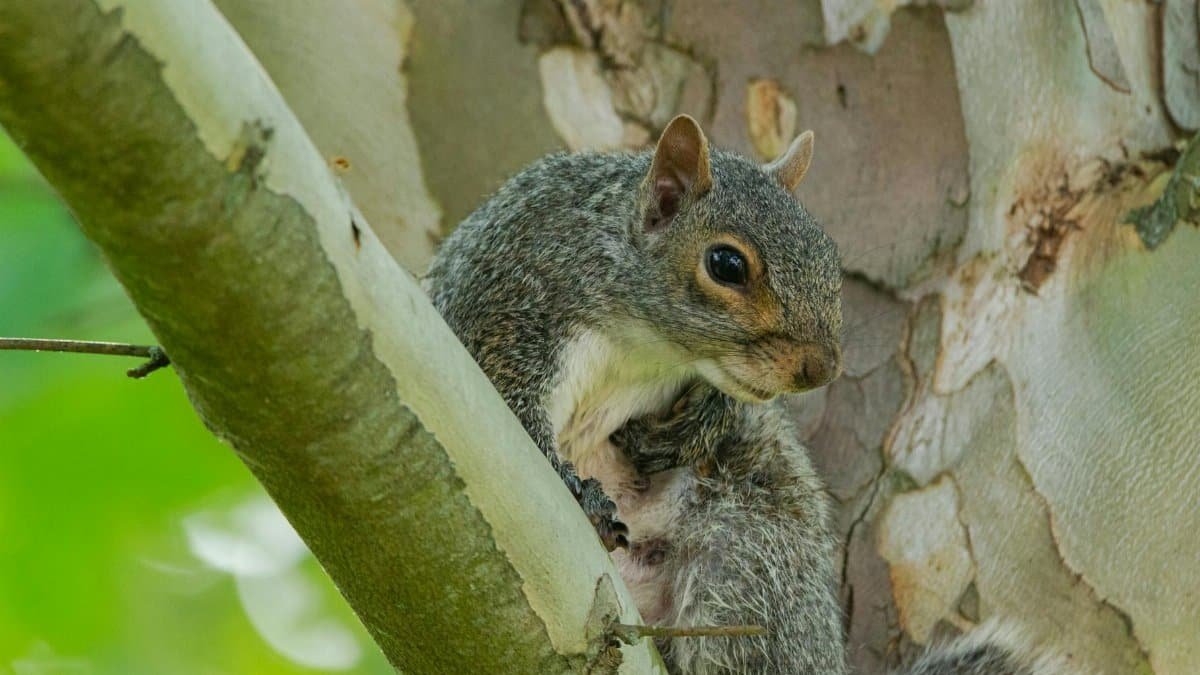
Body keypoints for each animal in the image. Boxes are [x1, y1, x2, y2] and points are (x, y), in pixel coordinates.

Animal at [423, 115, 1068, 675]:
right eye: (726, 264)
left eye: (829, 256)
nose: (821, 369)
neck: (645, 343)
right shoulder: (510, 296)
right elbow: (508, 397)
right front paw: (573, 483)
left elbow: (733, 407)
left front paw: (702, 420)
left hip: (749, 552)